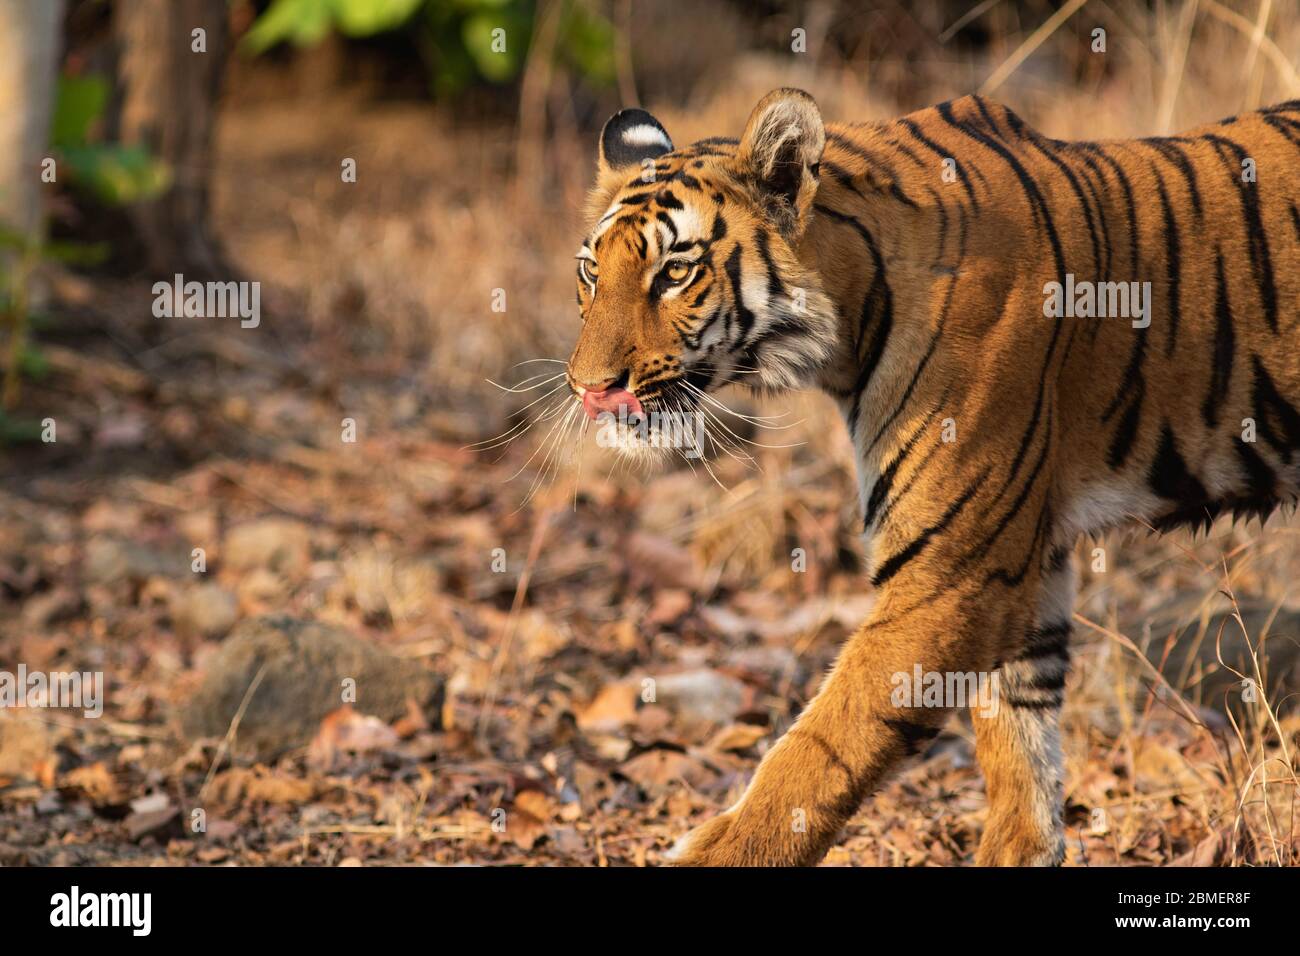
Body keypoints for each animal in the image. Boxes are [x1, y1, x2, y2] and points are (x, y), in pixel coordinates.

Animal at [563, 87, 1300, 866]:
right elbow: (1021, 747)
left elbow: (817, 750)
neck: (851, 315)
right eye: (591, 271)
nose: (588, 389)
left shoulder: (949, 579)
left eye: (675, 273)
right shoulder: (1023, 563)